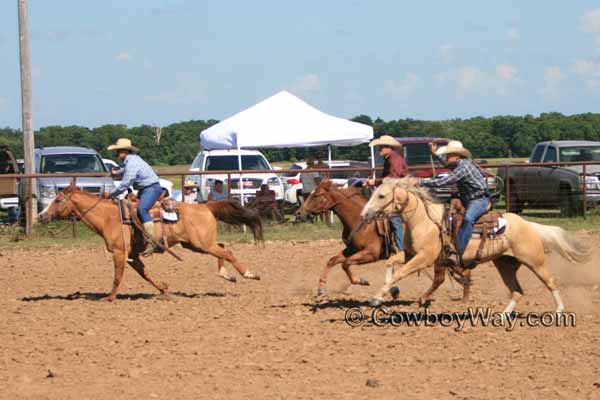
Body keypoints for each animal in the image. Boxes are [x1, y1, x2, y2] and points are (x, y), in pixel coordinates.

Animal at [38, 183, 262, 302]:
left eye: (58, 201)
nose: (41, 216)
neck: (109, 217)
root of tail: (205, 205)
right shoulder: (132, 255)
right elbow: (145, 274)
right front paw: (163, 288)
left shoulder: (119, 252)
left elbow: (117, 277)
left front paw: (109, 298)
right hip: (196, 244)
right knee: (223, 248)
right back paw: (227, 275)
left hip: (201, 244)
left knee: (227, 252)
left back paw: (248, 274)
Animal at [360, 178, 592, 312]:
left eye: (381, 195)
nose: (365, 214)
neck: (424, 220)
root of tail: (528, 224)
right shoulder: (410, 254)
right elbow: (390, 263)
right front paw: (383, 294)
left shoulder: (425, 258)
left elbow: (400, 273)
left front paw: (377, 296)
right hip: (505, 264)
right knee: (516, 291)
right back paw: (503, 315)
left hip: (535, 261)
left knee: (550, 282)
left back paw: (559, 310)